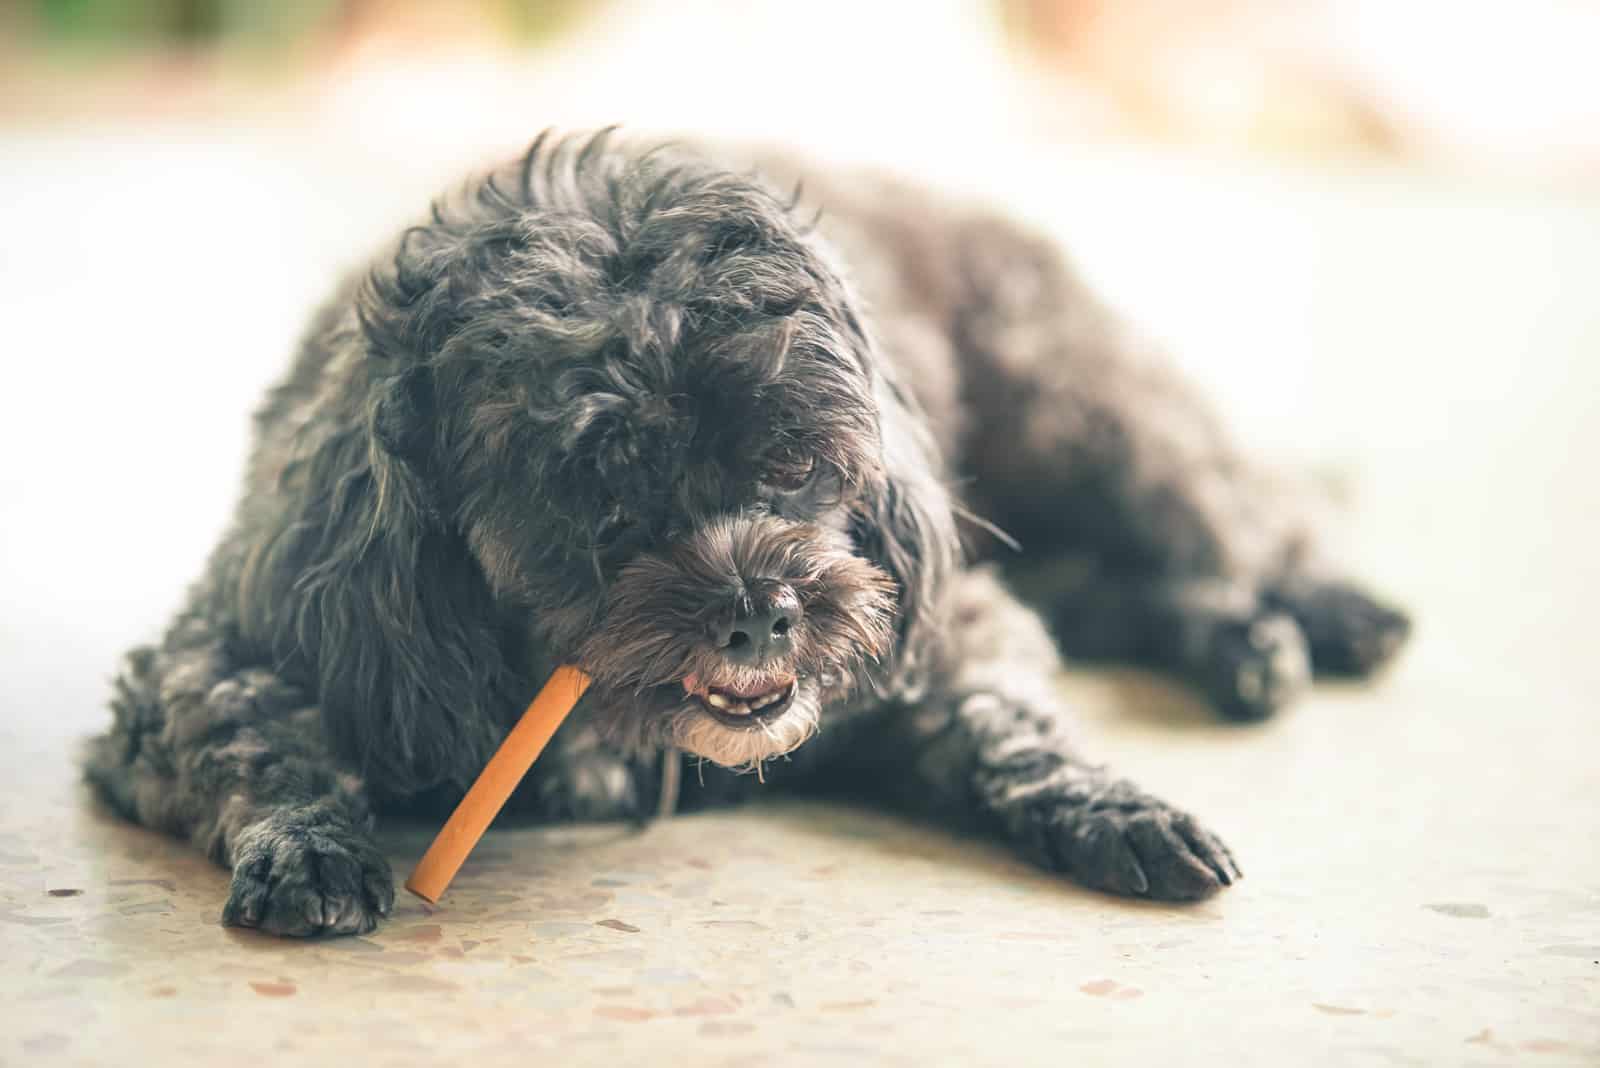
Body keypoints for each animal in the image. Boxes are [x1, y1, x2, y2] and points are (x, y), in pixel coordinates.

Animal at [90, 131, 1414, 933]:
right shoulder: (220, 652)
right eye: (602, 498)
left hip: (1097, 421)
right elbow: (256, 737)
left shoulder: (927, 618)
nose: (763, 609)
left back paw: (1325, 617)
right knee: (1126, 584)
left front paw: (1114, 807)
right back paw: (1250, 647)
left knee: (1237, 524)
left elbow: (1008, 726)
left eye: (793, 469)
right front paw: (308, 843)